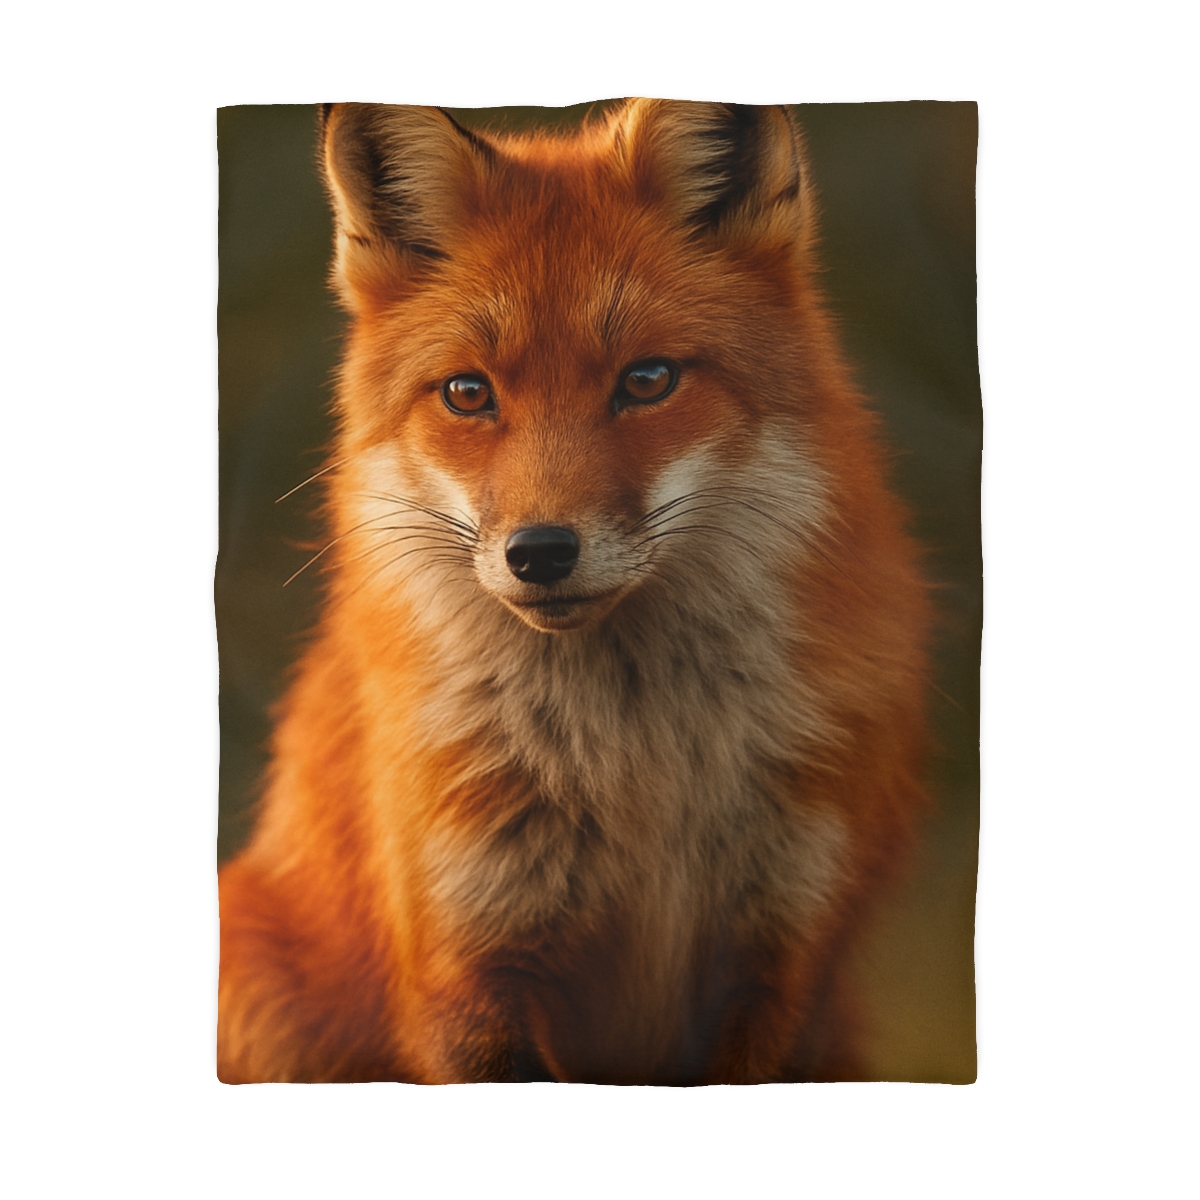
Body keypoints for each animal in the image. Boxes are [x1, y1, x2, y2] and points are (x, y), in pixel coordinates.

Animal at [217, 99, 930, 1084]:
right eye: (468, 393)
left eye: (648, 380)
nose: (541, 552)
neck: (636, 769)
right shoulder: (468, 970)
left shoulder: (780, 959)